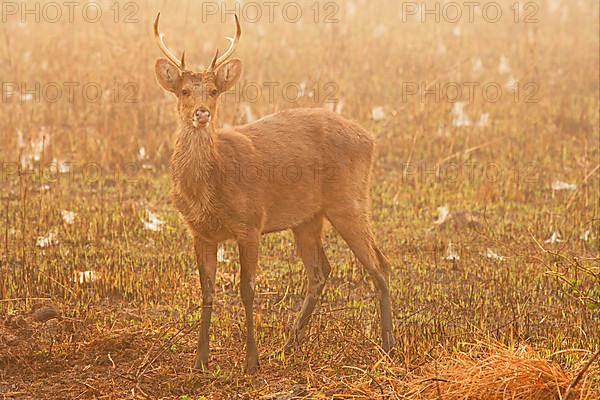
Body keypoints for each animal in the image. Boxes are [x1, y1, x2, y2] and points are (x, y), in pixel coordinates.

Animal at [152, 13, 396, 376]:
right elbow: (207, 292)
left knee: (379, 264)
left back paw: (388, 347)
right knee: (320, 272)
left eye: (214, 91)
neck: (211, 187)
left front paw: (251, 362)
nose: (201, 113)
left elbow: (247, 289)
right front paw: (200, 361)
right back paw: (287, 346)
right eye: (183, 90)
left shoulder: (250, 222)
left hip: (350, 200)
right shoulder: (200, 232)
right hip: (307, 217)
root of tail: (370, 138)